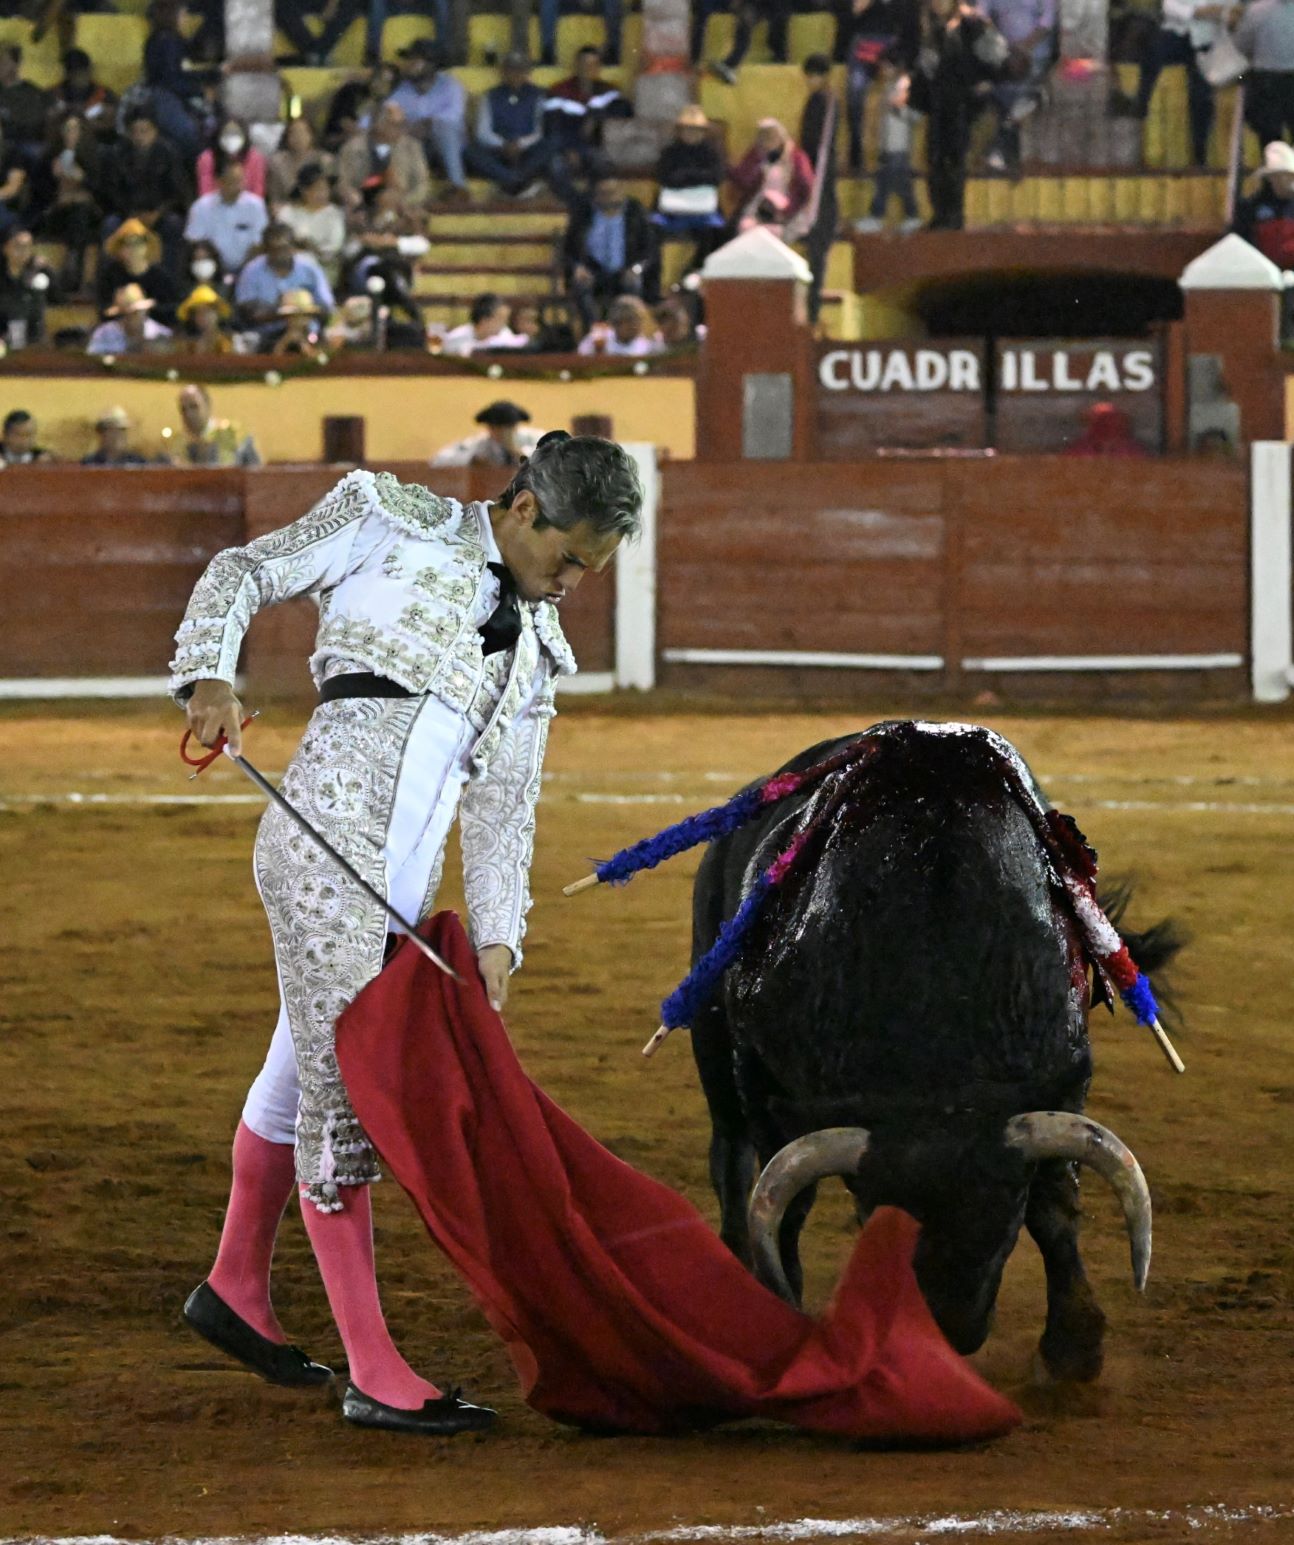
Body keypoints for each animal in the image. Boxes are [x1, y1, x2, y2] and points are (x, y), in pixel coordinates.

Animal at [687, 720, 1182, 1382]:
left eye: (1004, 1219)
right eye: (873, 1216)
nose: (950, 1333)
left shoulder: (1064, 1075)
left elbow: (1055, 1204)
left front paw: (1074, 1345)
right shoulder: (763, 1076)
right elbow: (786, 1200)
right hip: (710, 1033)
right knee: (732, 1159)